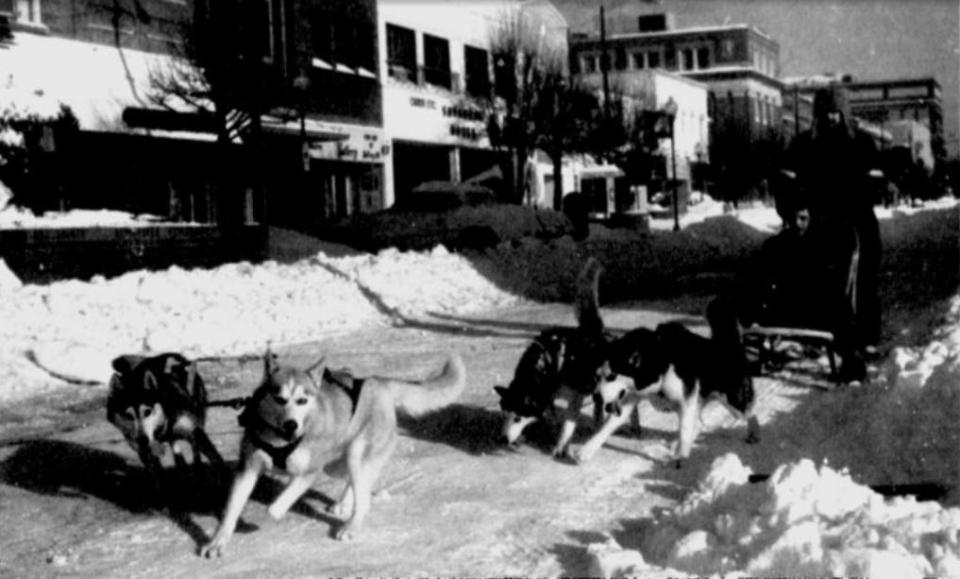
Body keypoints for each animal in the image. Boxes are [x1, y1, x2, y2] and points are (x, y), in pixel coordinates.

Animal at [199, 348, 464, 556]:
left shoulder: (310, 471)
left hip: (356, 454)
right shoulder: (248, 469)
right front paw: (217, 542)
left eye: (302, 400)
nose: (291, 424)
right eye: (279, 398)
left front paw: (273, 512)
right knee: (353, 480)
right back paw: (344, 503)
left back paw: (351, 526)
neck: (281, 441)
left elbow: (277, 504)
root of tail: (377, 383)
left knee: (363, 497)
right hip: (337, 463)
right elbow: (231, 510)